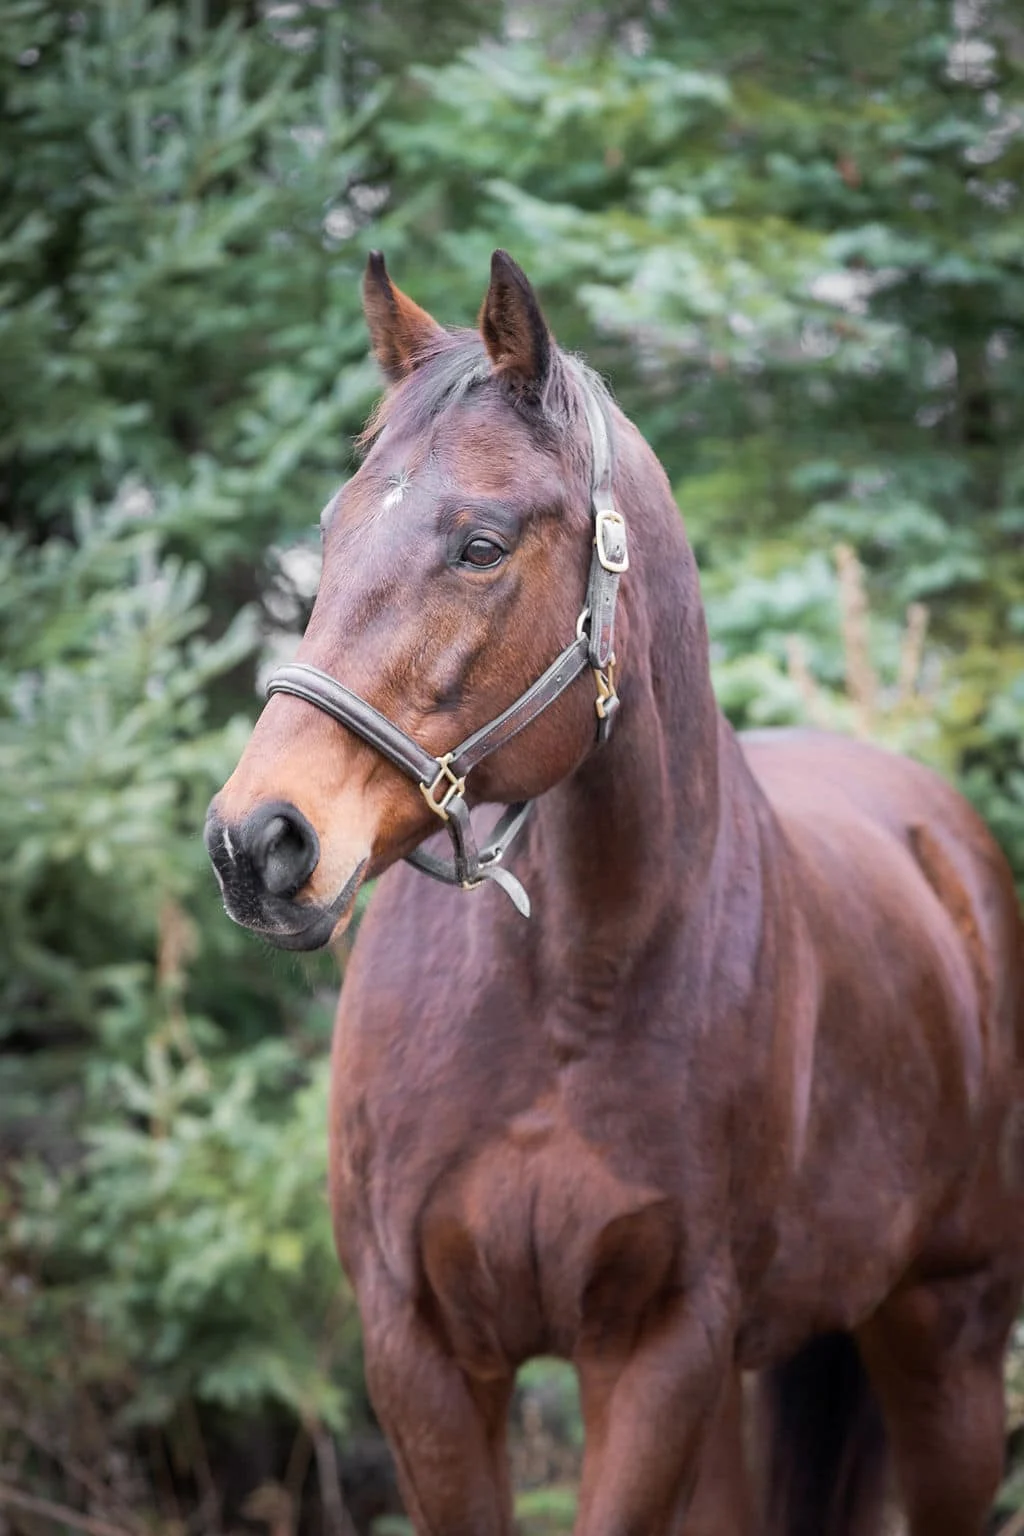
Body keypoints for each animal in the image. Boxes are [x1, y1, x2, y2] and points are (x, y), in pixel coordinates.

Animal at [205, 249, 1024, 1536]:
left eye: (480, 545)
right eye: (331, 533)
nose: (260, 841)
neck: (569, 991)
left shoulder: (656, 1353)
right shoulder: (420, 1352)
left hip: (948, 1347)